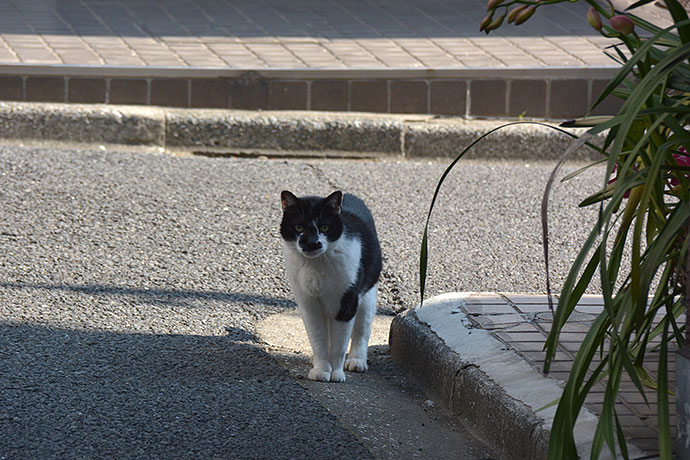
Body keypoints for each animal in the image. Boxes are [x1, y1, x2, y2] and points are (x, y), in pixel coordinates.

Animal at [280, 189, 382, 382]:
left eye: (325, 228)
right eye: (299, 228)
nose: (312, 243)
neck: (316, 265)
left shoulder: (347, 303)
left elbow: (339, 345)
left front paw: (336, 373)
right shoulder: (309, 305)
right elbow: (318, 339)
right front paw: (321, 369)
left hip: (367, 295)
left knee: (362, 330)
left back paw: (357, 360)